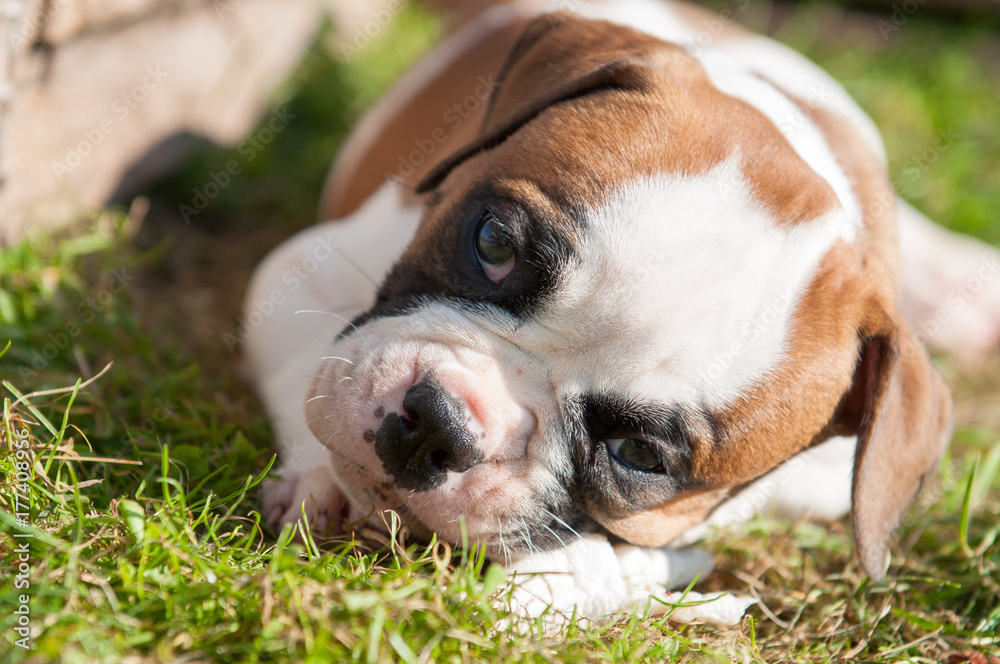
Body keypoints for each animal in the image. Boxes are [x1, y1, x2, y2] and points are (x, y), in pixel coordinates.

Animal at [244, 0, 992, 580]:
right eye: (494, 244)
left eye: (639, 455)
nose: (439, 425)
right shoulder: (300, 269)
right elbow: (310, 355)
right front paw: (318, 476)